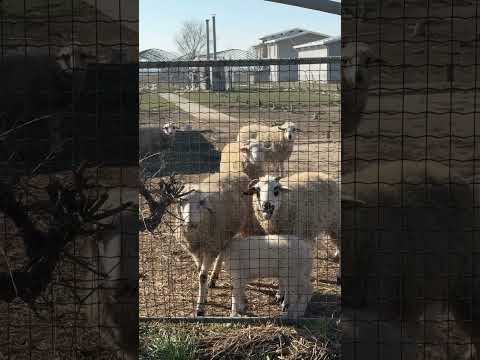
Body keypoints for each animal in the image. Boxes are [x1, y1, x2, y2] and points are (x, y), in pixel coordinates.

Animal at [174, 173, 264, 316]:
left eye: (201, 202)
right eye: (181, 201)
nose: (190, 223)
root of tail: (238, 173)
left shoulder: (210, 248)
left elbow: (202, 276)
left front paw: (200, 308)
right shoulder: (196, 251)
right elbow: (200, 272)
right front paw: (204, 295)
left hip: (243, 223)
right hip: (222, 236)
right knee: (222, 253)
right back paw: (213, 278)